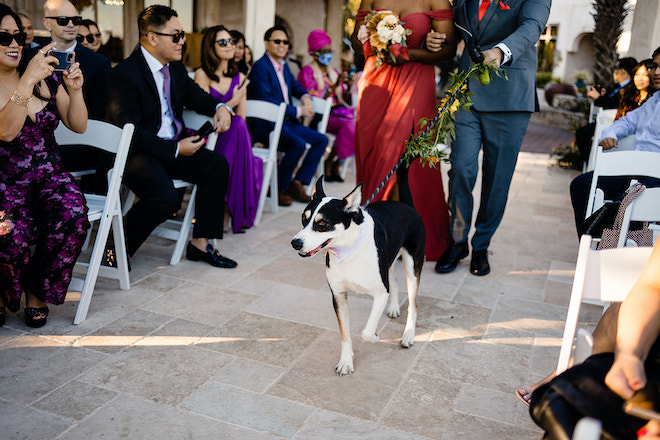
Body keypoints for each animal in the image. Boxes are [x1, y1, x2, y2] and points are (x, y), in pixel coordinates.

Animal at [292, 175, 426, 374]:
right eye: (303, 218)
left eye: (322, 223)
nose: (295, 243)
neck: (349, 249)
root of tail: (407, 205)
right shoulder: (338, 296)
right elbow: (345, 334)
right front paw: (346, 361)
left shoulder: (380, 293)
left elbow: (367, 332)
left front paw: (376, 336)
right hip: (388, 262)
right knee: (394, 282)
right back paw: (394, 308)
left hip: (412, 265)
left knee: (413, 303)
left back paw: (408, 335)